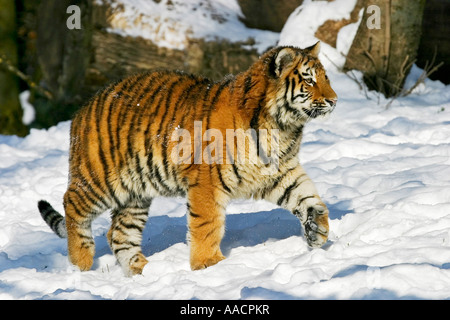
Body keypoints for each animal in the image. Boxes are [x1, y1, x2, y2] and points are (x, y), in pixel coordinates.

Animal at [37, 41, 338, 276]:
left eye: (326, 78)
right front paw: (209, 265)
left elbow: (309, 197)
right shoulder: (207, 182)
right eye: (309, 80)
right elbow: (207, 224)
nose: (335, 100)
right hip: (101, 181)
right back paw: (81, 263)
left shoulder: (278, 172)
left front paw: (318, 231)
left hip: (136, 193)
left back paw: (145, 271)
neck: (282, 127)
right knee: (72, 204)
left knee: (119, 234)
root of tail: (82, 109)